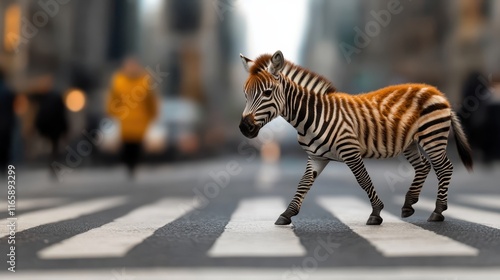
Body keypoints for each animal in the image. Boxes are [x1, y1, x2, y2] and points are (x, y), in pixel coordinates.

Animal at [238, 49, 472, 225]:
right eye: (245, 94)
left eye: (267, 93)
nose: (244, 128)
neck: (311, 117)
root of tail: (437, 91)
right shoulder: (316, 157)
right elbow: (303, 184)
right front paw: (286, 214)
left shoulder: (350, 150)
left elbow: (363, 180)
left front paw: (376, 213)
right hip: (411, 142)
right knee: (423, 166)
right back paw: (408, 205)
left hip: (432, 136)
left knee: (444, 168)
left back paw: (438, 211)